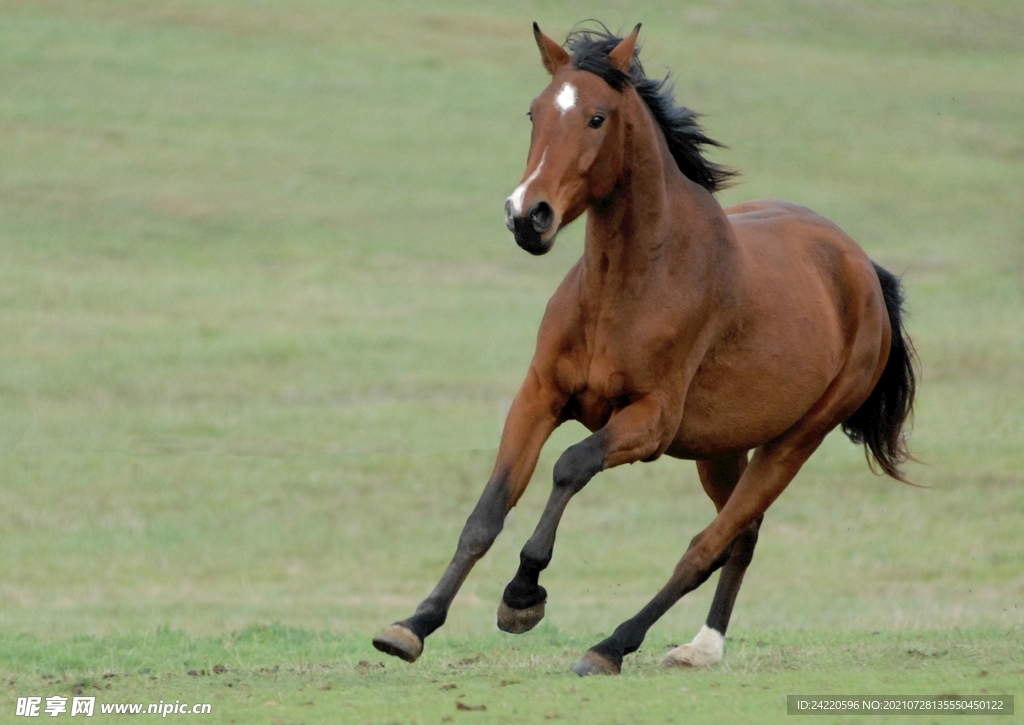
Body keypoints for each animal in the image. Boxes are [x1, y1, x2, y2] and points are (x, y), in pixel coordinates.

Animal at [373, 22, 916, 676]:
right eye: (533, 112)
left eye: (597, 118)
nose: (527, 217)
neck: (625, 287)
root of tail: (863, 269)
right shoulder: (539, 396)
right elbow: (487, 513)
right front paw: (413, 625)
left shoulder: (650, 422)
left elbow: (571, 465)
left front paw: (523, 595)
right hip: (722, 449)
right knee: (742, 536)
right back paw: (702, 647)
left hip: (794, 442)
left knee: (708, 545)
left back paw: (611, 646)